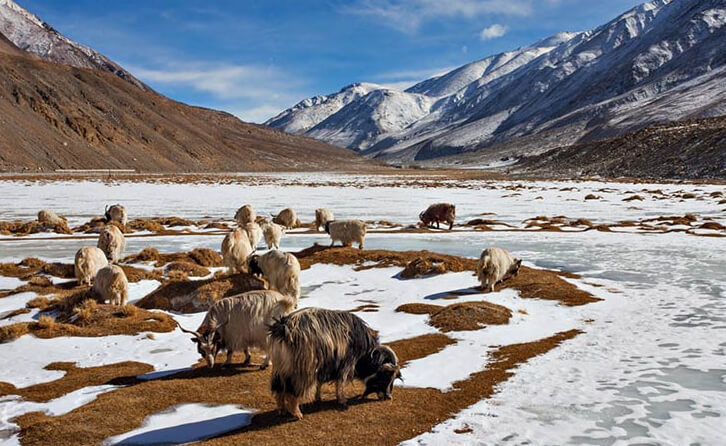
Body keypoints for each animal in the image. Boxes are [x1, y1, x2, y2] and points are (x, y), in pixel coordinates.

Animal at [268, 308, 400, 420]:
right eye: (385, 376)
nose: (388, 397)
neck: (365, 353)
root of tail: (283, 329)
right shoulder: (345, 364)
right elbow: (339, 383)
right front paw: (342, 401)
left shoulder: (324, 367)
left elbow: (320, 384)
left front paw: (318, 398)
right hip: (302, 371)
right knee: (293, 391)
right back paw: (297, 414)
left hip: (280, 370)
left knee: (278, 388)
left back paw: (282, 410)